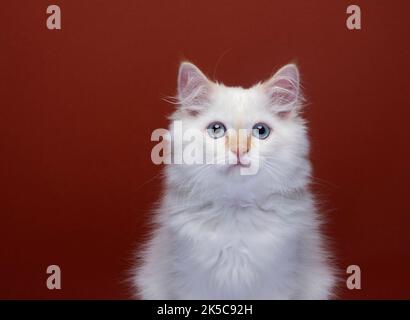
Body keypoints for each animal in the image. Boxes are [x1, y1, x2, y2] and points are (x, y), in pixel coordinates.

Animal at [135, 62, 336, 300]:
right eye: (216, 129)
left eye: (261, 131)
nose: (239, 150)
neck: (236, 210)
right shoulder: (189, 279)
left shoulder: (280, 279)